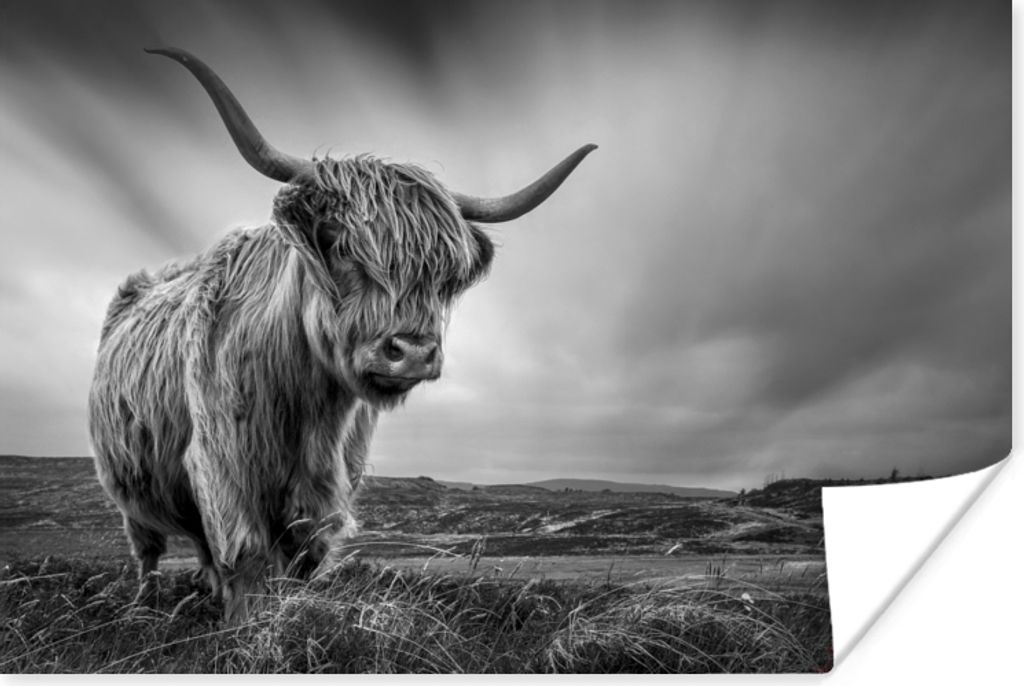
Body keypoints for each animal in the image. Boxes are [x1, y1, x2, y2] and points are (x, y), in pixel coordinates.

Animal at [87, 47, 595, 622]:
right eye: (336, 241)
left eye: (444, 272)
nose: (412, 352)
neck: (308, 406)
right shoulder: (222, 465)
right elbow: (246, 556)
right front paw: (244, 628)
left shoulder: (330, 484)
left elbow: (302, 557)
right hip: (129, 487)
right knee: (148, 548)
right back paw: (143, 604)